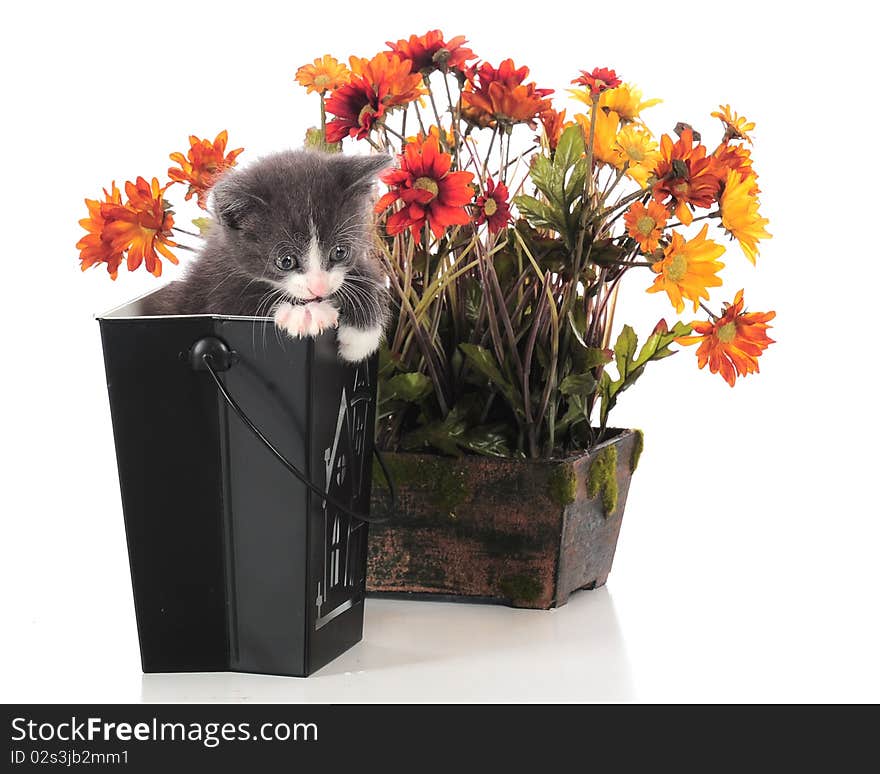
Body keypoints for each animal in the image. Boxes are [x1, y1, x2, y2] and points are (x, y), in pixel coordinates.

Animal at [143, 151, 390, 364]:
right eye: (286, 261)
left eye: (340, 251)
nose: (319, 288)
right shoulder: (212, 289)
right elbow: (237, 304)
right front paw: (304, 313)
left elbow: (364, 277)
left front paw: (360, 338)